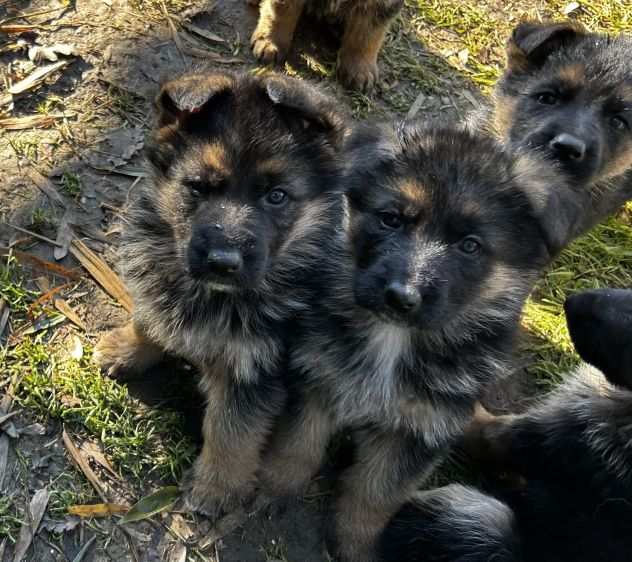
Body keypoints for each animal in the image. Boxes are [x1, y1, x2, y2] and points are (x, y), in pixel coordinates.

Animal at [94, 70, 348, 516]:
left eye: (277, 196)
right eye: (199, 187)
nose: (223, 262)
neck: (215, 295)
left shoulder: (252, 368)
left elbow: (232, 430)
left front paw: (217, 487)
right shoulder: (160, 284)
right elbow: (150, 319)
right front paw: (126, 348)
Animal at [254, 122, 580, 560]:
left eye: (470, 245)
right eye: (391, 219)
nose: (401, 297)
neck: (394, 339)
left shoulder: (420, 429)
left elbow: (375, 494)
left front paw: (359, 546)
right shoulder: (315, 378)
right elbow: (296, 445)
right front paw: (274, 490)